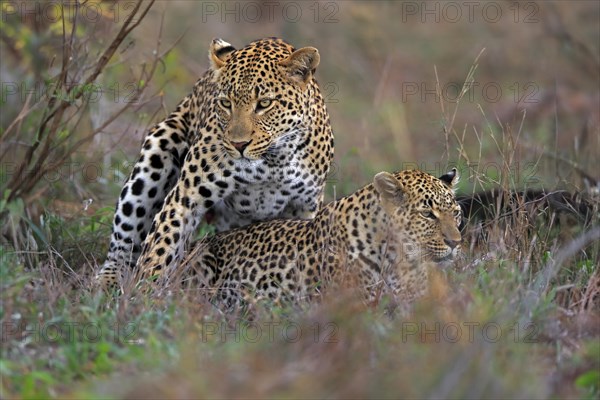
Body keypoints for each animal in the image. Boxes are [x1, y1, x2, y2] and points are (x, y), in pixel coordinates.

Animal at [96, 37, 336, 290]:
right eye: (225, 103)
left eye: (264, 103)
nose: (239, 144)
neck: (272, 161)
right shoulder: (187, 195)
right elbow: (162, 243)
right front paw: (143, 292)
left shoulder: (304, 206)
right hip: (156, 153)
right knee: (124, 242)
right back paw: (108, 282)